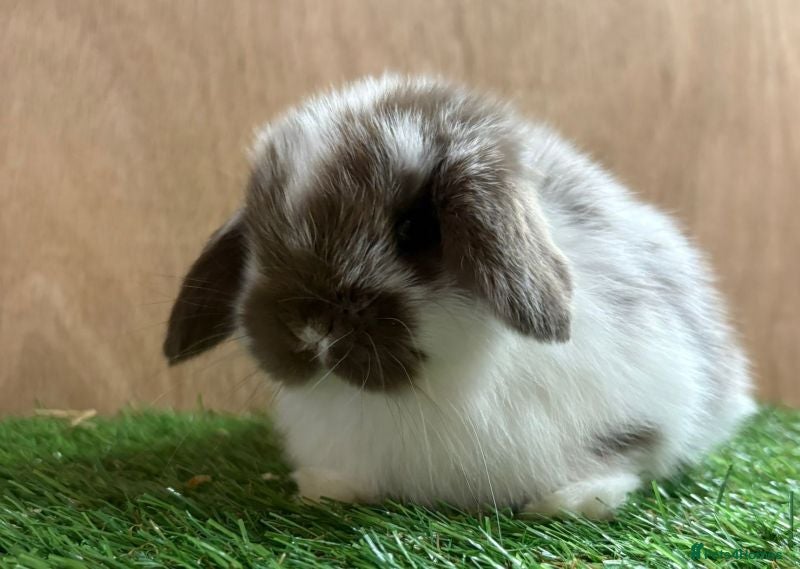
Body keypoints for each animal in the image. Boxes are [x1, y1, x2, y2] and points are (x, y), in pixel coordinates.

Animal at [163, 74, 756, 519]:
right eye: (256, 244)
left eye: (417, 229)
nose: (308, 329)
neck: (425, 393)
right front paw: (325, 488)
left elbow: (625, 455)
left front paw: (574, 502)